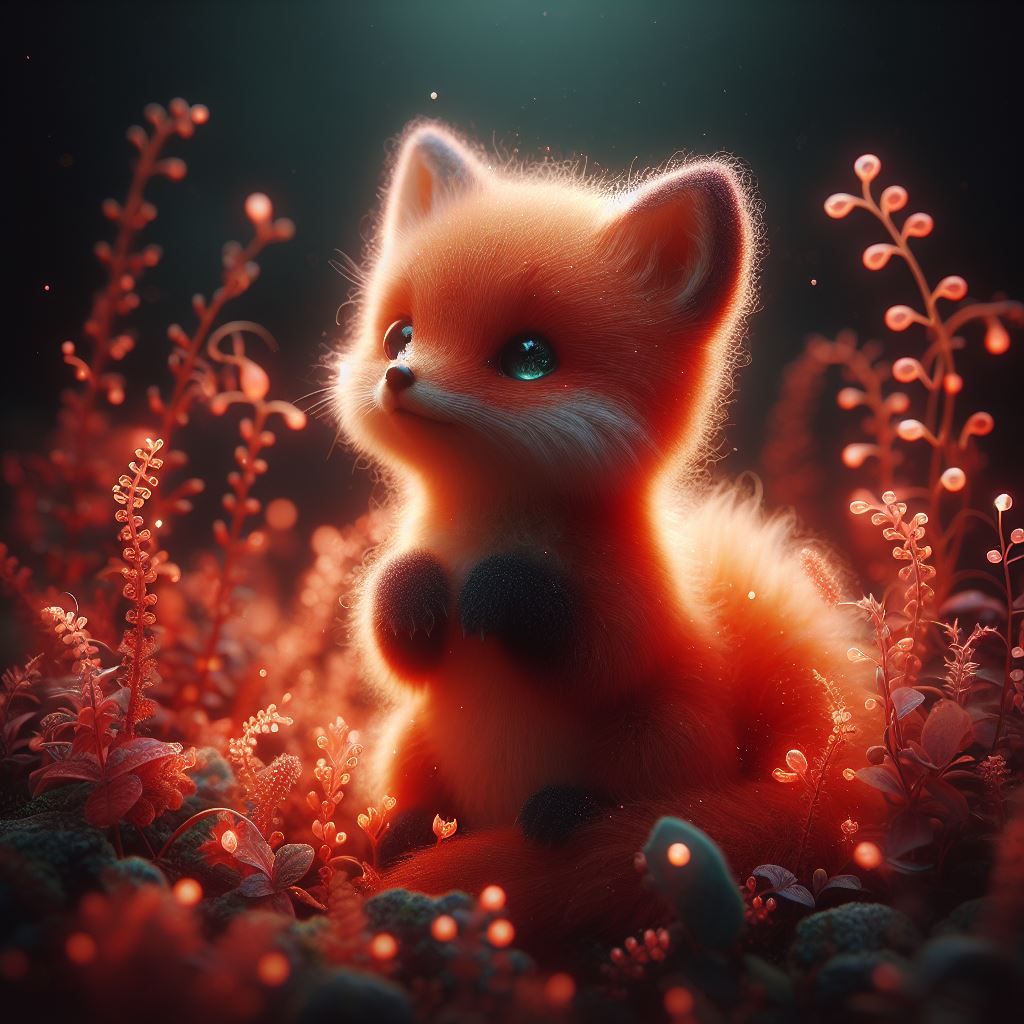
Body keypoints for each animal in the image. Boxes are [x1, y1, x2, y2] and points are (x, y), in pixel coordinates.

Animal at [333, 122, 873, 947]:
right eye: (400, 333)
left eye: (529, 358)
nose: (400, 375)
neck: (491, 524)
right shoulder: (409, 660)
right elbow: (393, 640)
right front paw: (417, 589)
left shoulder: (634, 609)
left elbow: (597, 648)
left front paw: (500, 590)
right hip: (408, 738)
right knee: (417, 798)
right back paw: (408, 831)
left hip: (665, 732)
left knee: (641, 802)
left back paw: (565, 813)